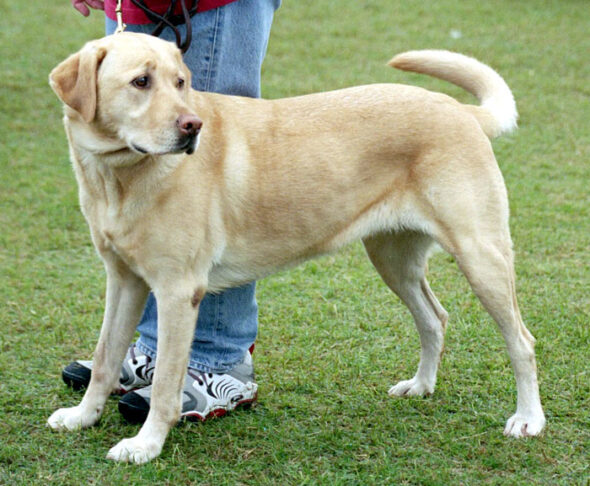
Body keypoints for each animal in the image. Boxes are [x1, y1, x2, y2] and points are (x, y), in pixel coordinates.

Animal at [48, 33, 548, 464]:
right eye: (141, 82)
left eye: (181, 82)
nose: (192, 127)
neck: (119, 177)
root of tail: (461, 111)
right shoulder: (124, 281)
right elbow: (104, 358)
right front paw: (83, 417)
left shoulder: (177, 291)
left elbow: (166, 385)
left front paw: (146, 445)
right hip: (393, 260)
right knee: (434, 318)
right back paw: (421, 385)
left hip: (480, 257)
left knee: (521, 341)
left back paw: (528, 419)